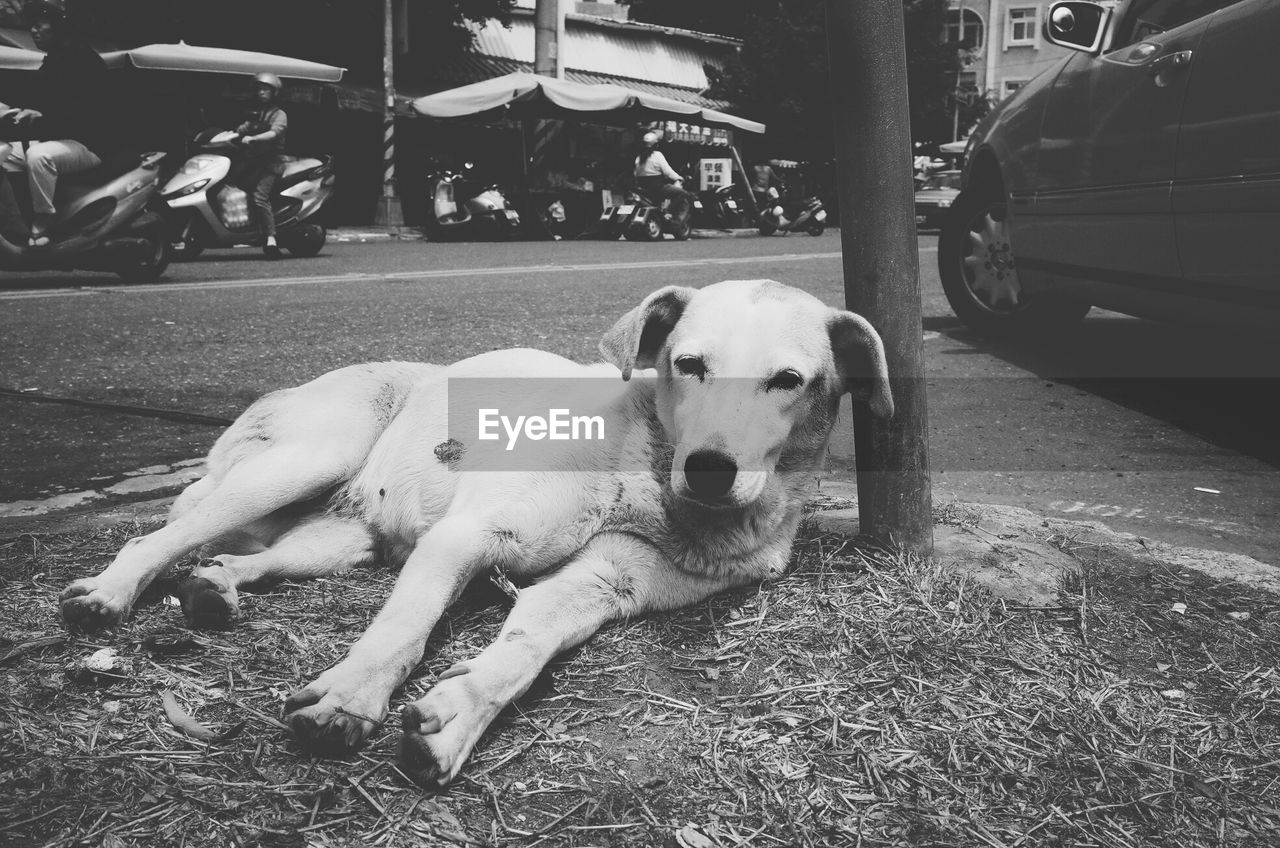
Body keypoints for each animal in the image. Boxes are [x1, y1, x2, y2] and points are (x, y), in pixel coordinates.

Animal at [57, 280, 890, 789]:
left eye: (788, 381)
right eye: (689, 364)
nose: (712, 469)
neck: (646, 474)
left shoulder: (598, 586)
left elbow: (521, 649)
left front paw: (457, 713)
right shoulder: (467, 539)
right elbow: (401, 631)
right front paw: (350, 700)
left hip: (345, 536)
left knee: (248, 554)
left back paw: (215, 587)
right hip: (304, 459)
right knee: (163, 536)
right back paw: (108, 593)